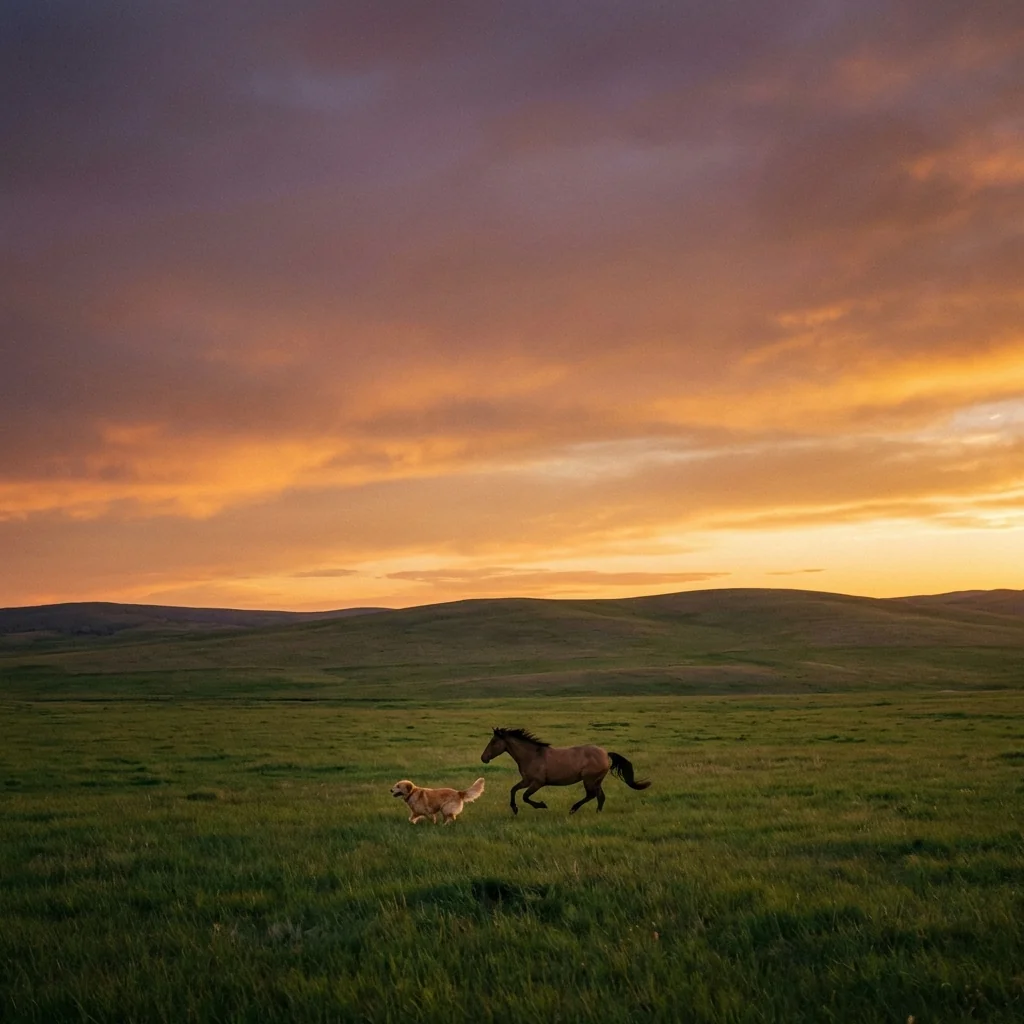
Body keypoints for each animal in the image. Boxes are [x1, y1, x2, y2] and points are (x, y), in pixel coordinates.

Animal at [480, 727, 651, 815]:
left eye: (494, 741)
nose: (483, 758)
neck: (532, 755)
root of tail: (605, 753)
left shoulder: (538, 783)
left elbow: (525, 796)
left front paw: (541, 805)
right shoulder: (526, 780)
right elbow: (513, 790)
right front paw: (515, 809)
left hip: (589, 779)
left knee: (591, 795)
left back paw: (573, 809)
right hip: (597, 780)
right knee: (600, 796)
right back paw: (597, 812)